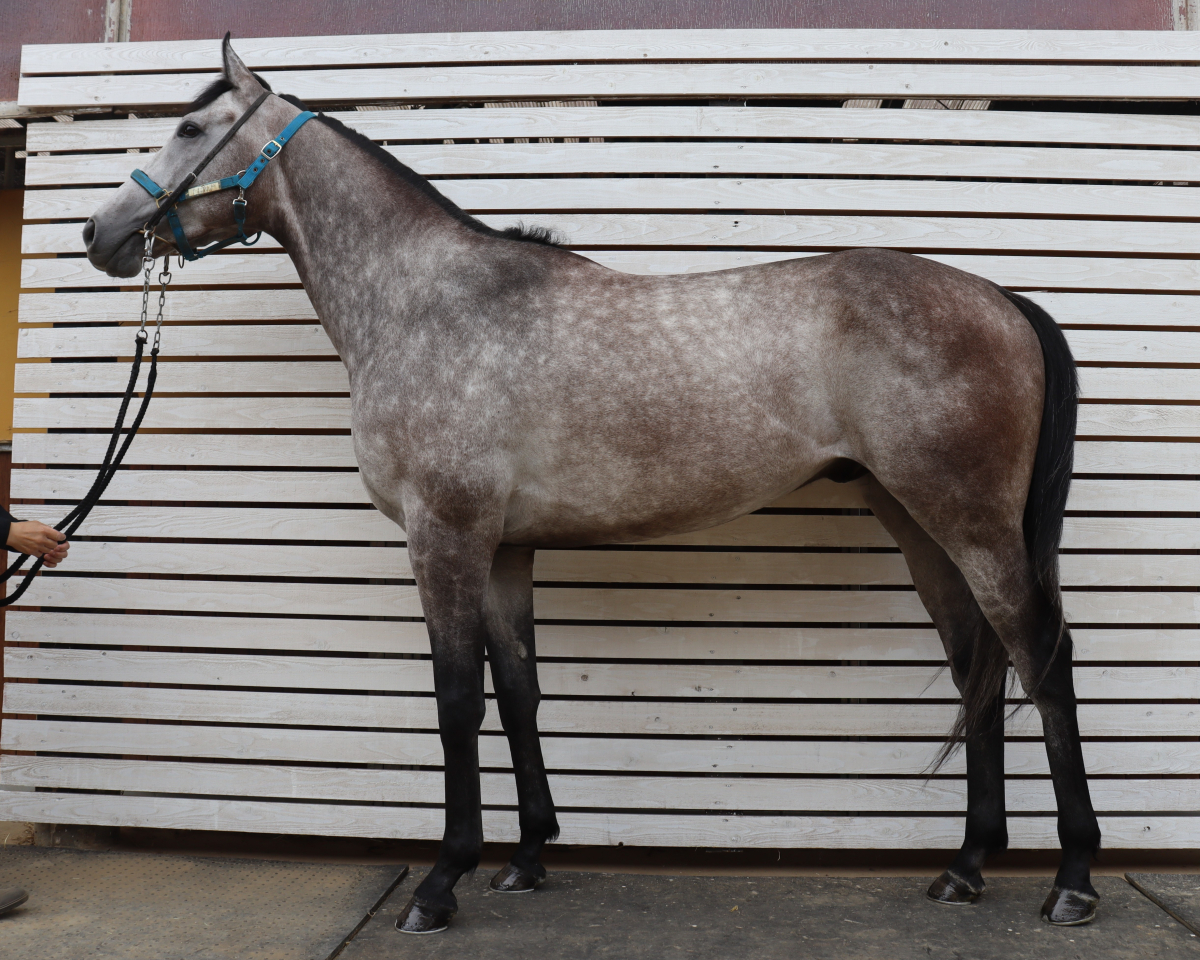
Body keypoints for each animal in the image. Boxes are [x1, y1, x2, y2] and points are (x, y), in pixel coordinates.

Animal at [83, 37, 1100, 934]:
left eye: (187, 125)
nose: (101, 234)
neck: (428, 303)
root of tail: (999, 300)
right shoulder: (503, 548)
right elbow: (518, 692)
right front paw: (529, 858)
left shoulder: (444, 535)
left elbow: (457, 700)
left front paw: (442, 883)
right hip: (920, 520)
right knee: (977, 663)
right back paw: (965, 867)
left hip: (971, 523)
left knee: (1040, 659)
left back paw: (1073, 882)